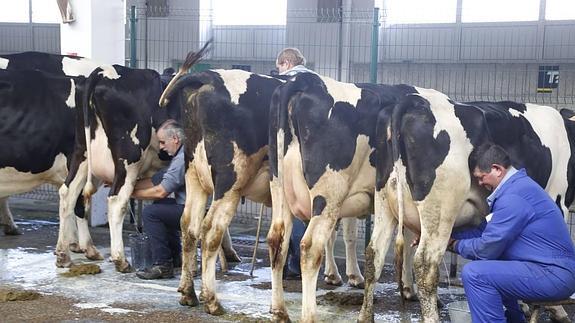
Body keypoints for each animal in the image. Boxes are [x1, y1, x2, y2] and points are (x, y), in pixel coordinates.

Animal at [266, 72, 418, 322]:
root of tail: (303, 80)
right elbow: (408, 244)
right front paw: (408, 289)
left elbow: (349, 235)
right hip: (329, 194)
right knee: (310, 247)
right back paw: (309, 315)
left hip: (281, 189)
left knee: (277, 241)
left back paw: (279, 310)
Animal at [358, 89, 572, 323]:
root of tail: (413, 101)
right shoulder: (558, 199)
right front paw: (557, 310)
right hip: (440, 209)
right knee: (425, 264)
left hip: (385, 202)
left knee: (374, 255)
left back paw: (365, 317)